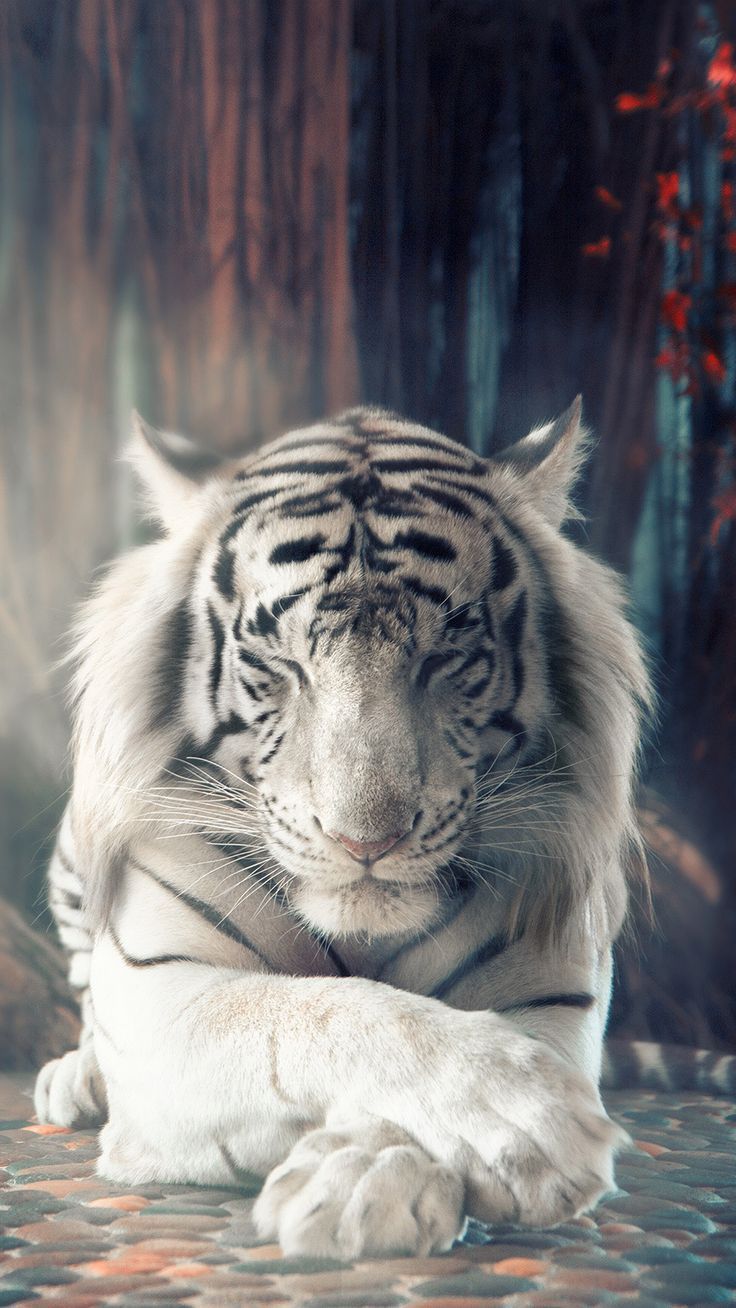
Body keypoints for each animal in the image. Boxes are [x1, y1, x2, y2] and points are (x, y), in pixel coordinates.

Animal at [37, 397, 653, 1255]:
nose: (366, 841)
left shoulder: (550, 993)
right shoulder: (166, 995)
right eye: (278, 662)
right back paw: (75, 1077)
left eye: (446, 656)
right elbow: (323, 1012)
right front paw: (527, 1120)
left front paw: (367, 1179)